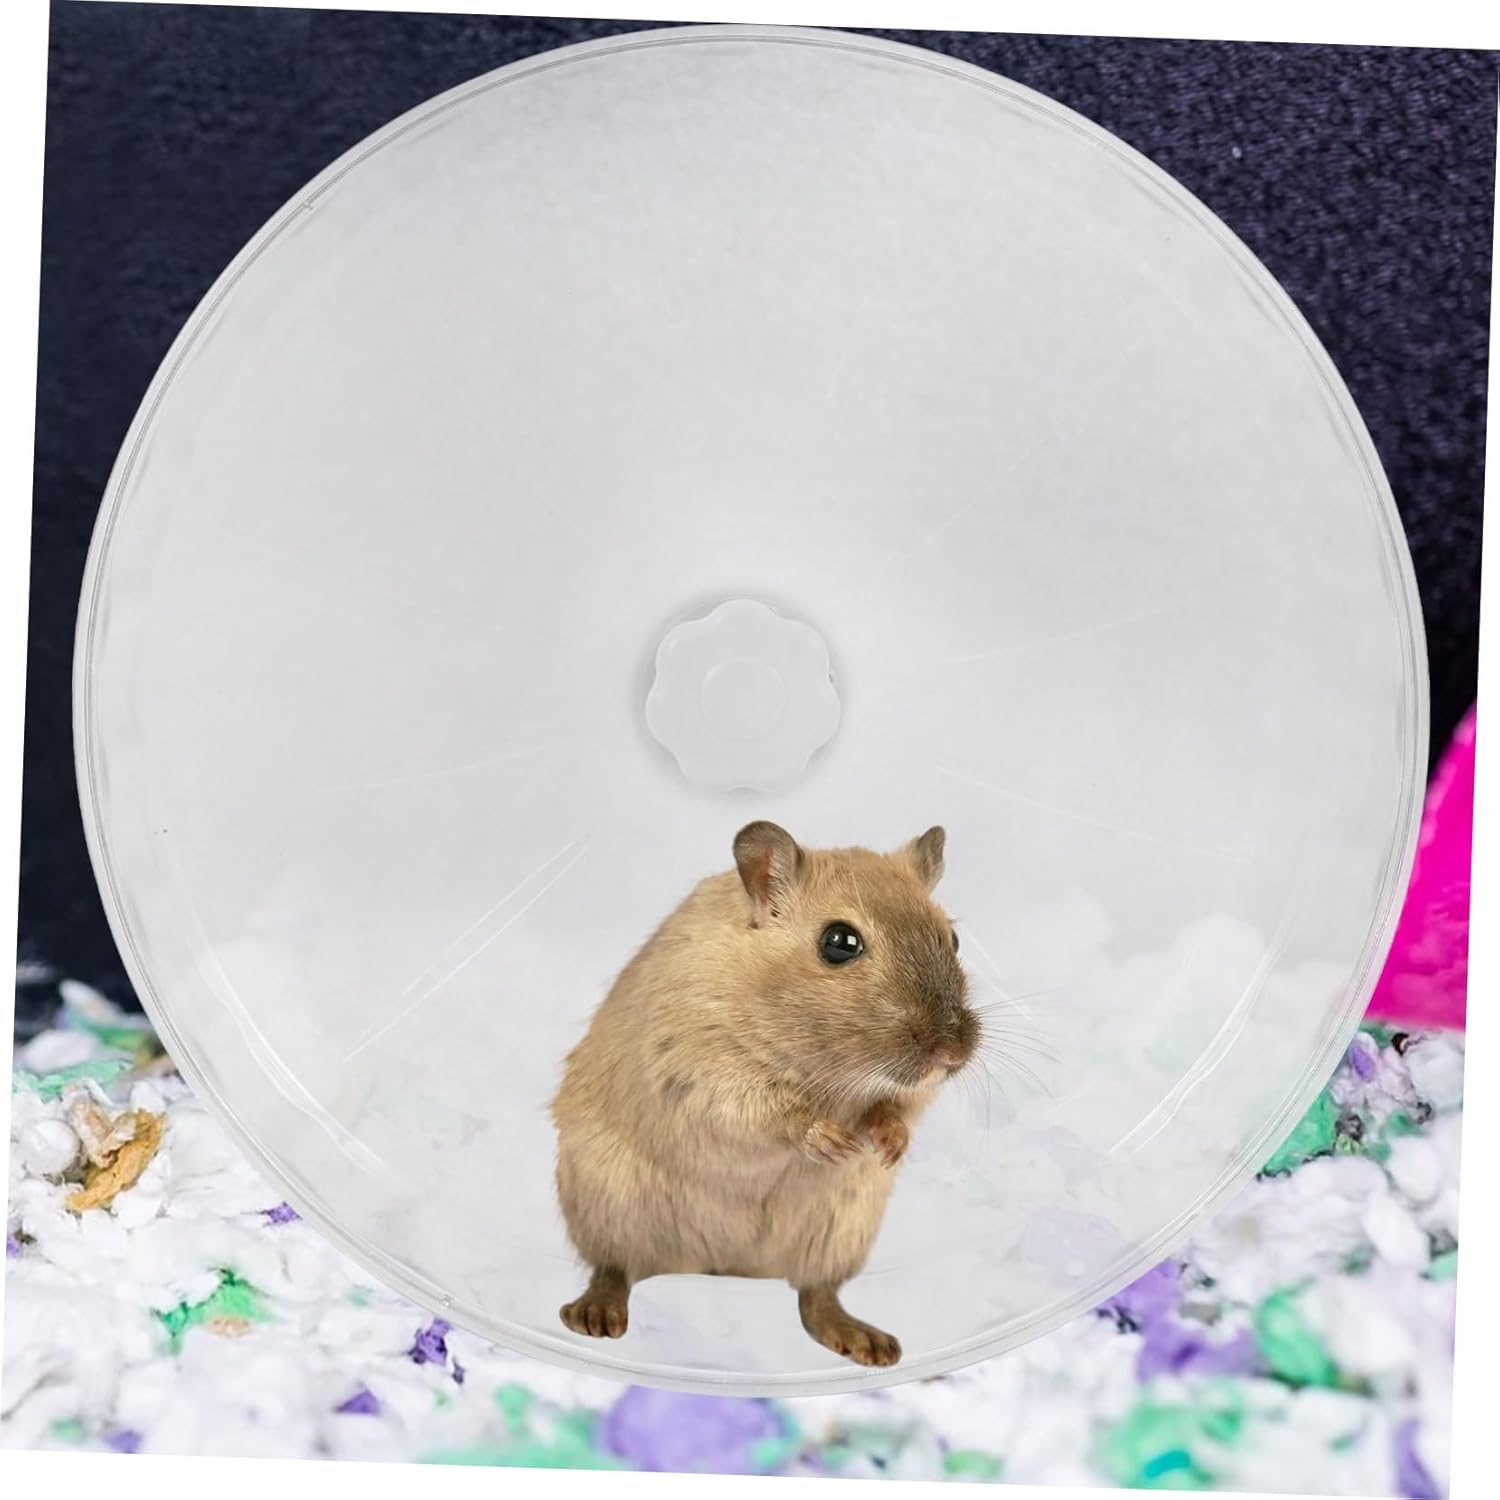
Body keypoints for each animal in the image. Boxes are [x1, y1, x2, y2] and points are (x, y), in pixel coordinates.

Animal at [551, 820, 979, 1367]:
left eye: (954, 938)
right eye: (840, 942)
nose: (952, 1054)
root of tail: (724, 1266)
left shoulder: (905, 1094)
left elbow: (896, 1108)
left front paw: (887, 1146)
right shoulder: (703, 1067)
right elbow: (771, 1113)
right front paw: (833, 1142)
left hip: (840, 1230)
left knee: (815, 1296)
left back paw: (872, 1345)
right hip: (608, 1204)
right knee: (614, 1267)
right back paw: (594, 1319)